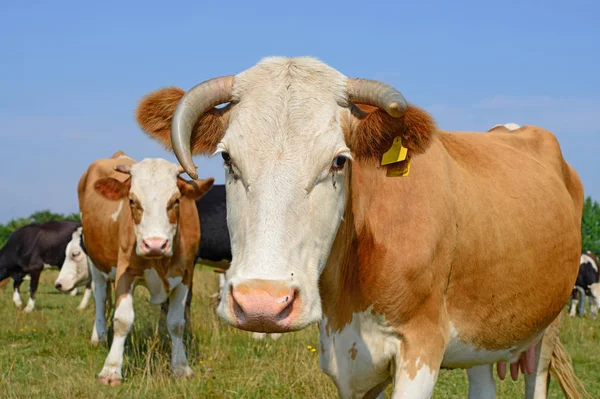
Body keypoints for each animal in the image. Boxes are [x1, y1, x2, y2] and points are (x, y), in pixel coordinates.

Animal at [77, 152, 213, 386]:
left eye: (176, 200)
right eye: (132, 200)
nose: (155, 244)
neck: (159, 261)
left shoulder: (186, 275)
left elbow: (176, 323)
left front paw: (181, 367)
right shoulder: (125, 272)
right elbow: (122, 320)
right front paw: (111, 370)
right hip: (94, 259)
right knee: (99, 295)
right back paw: (99, 335)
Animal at [136, 57, 584, 399]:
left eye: (339, 160)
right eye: (228, 158)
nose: (263, 303)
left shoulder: (420, 347)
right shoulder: (346, 361)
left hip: (548, 324)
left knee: (535, 377)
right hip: (483, 330)